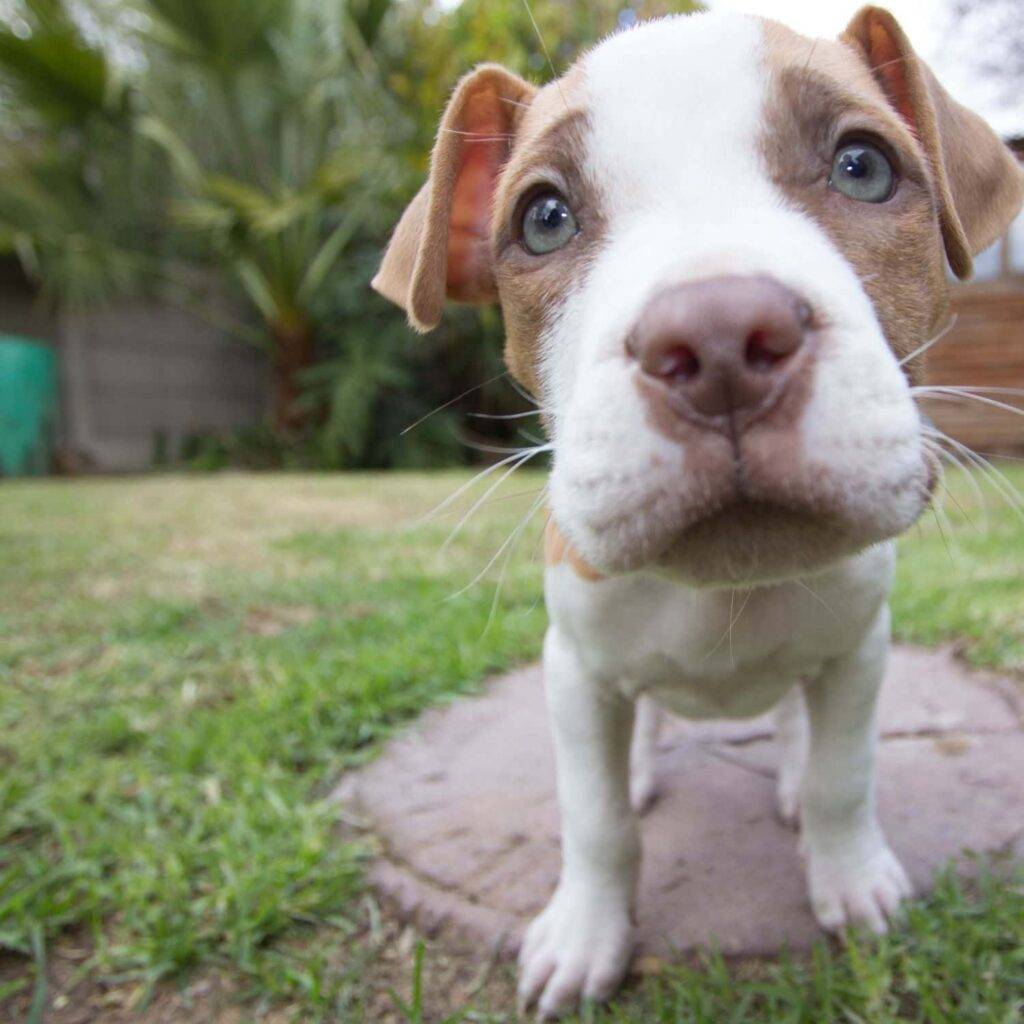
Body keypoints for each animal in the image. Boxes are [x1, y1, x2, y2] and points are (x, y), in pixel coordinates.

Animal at [374, 6, 1024, 1015]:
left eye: (863, 166)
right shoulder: (574, 668)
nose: (719, 338)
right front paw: (586, 934)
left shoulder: (861, 649)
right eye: (544, 218)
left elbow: (843, 775)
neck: (726, 589)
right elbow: (595, 818)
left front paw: (849, 879)